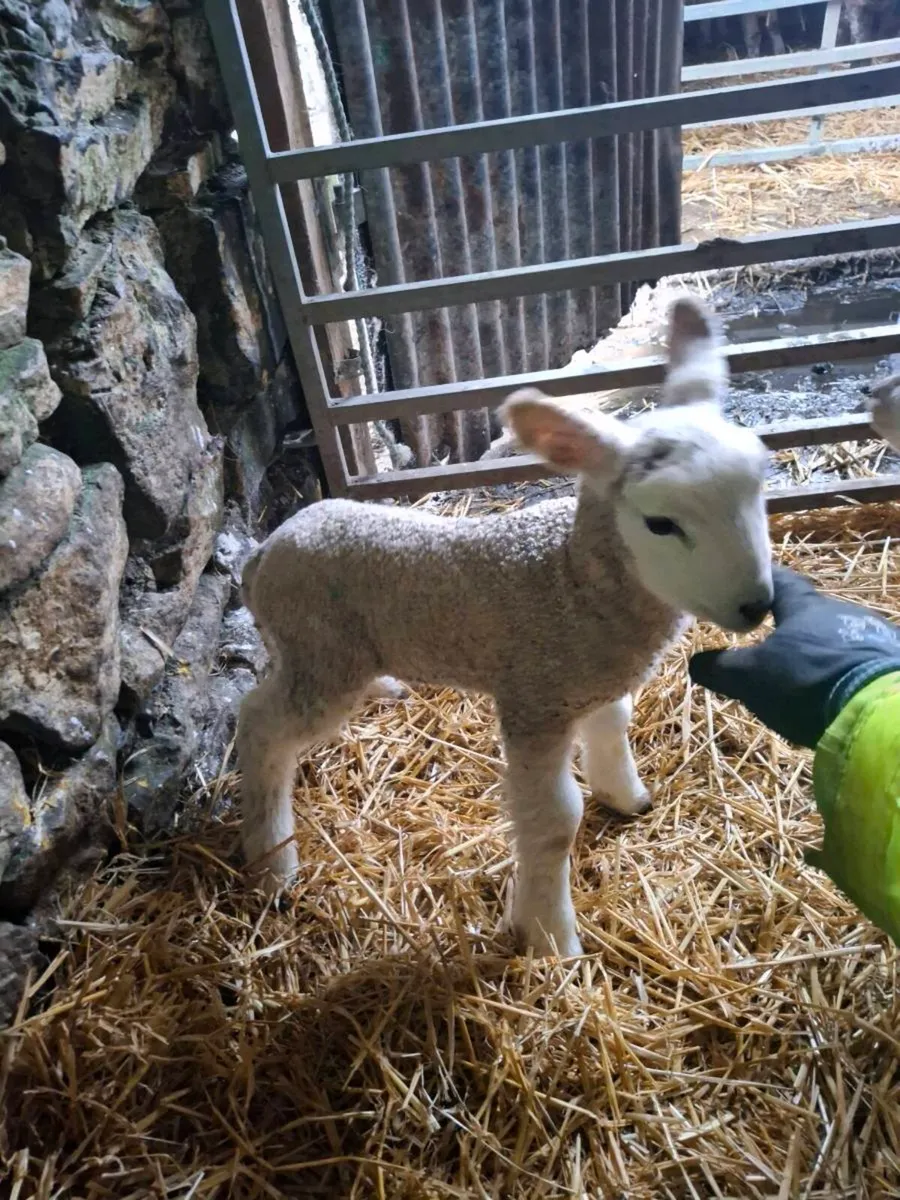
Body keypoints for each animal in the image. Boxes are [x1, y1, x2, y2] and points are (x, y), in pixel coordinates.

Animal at [237, 295, 774, 958]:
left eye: (760, 485)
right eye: (660, 523)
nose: (757, 606)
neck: (569, 576)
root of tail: (266, 549)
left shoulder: (592, 677)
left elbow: (614, 726)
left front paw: (626, 797)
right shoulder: (534, 700)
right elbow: (554, 824)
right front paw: (551, 939)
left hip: (314, 650)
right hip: (321, 653)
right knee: (261, 726)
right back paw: (271, 863)